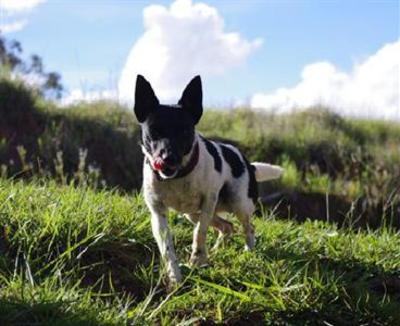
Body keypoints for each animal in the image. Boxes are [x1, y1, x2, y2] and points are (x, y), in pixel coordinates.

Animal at [134, 75, 282, 284]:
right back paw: (216, 250)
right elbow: (167, 248)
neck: (178, 176)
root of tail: (249, 164)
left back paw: (248, 251)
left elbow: (200, 232)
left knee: (248, 227)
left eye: (185, 131)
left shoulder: (208, 201)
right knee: (227, 226)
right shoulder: (158, 213)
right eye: (154, 131)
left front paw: (197, 259)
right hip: (191, 213)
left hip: (239, 203)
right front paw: (174, 277)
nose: (168, 158)